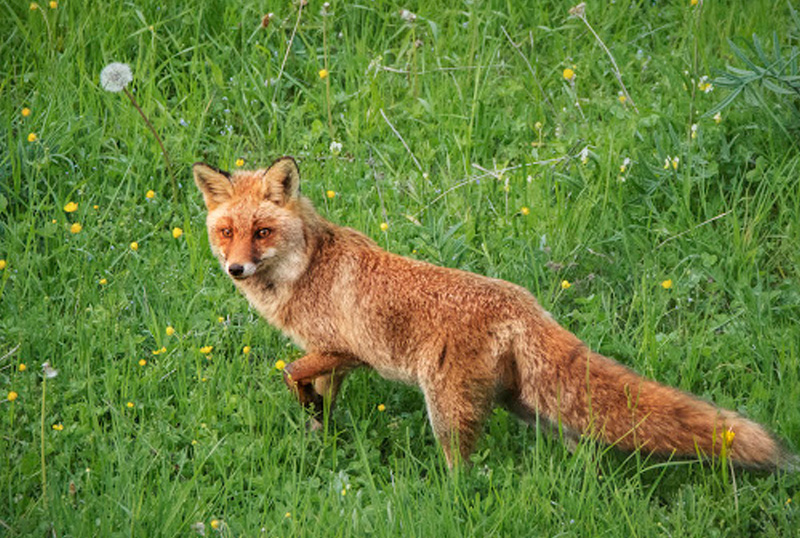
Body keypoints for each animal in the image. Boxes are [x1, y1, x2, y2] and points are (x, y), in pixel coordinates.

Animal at [192, 156, 792, 468]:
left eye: (261, 232)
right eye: (226, 232)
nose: (236, 269)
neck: (304, 270)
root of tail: (525, 302)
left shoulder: (345, 351)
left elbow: (291, 373)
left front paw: (312, 418)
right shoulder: (331, 358)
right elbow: (314, 394)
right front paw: (319, 434)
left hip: (449, 408)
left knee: (463, 472)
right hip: (530, 407)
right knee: (581, 447)